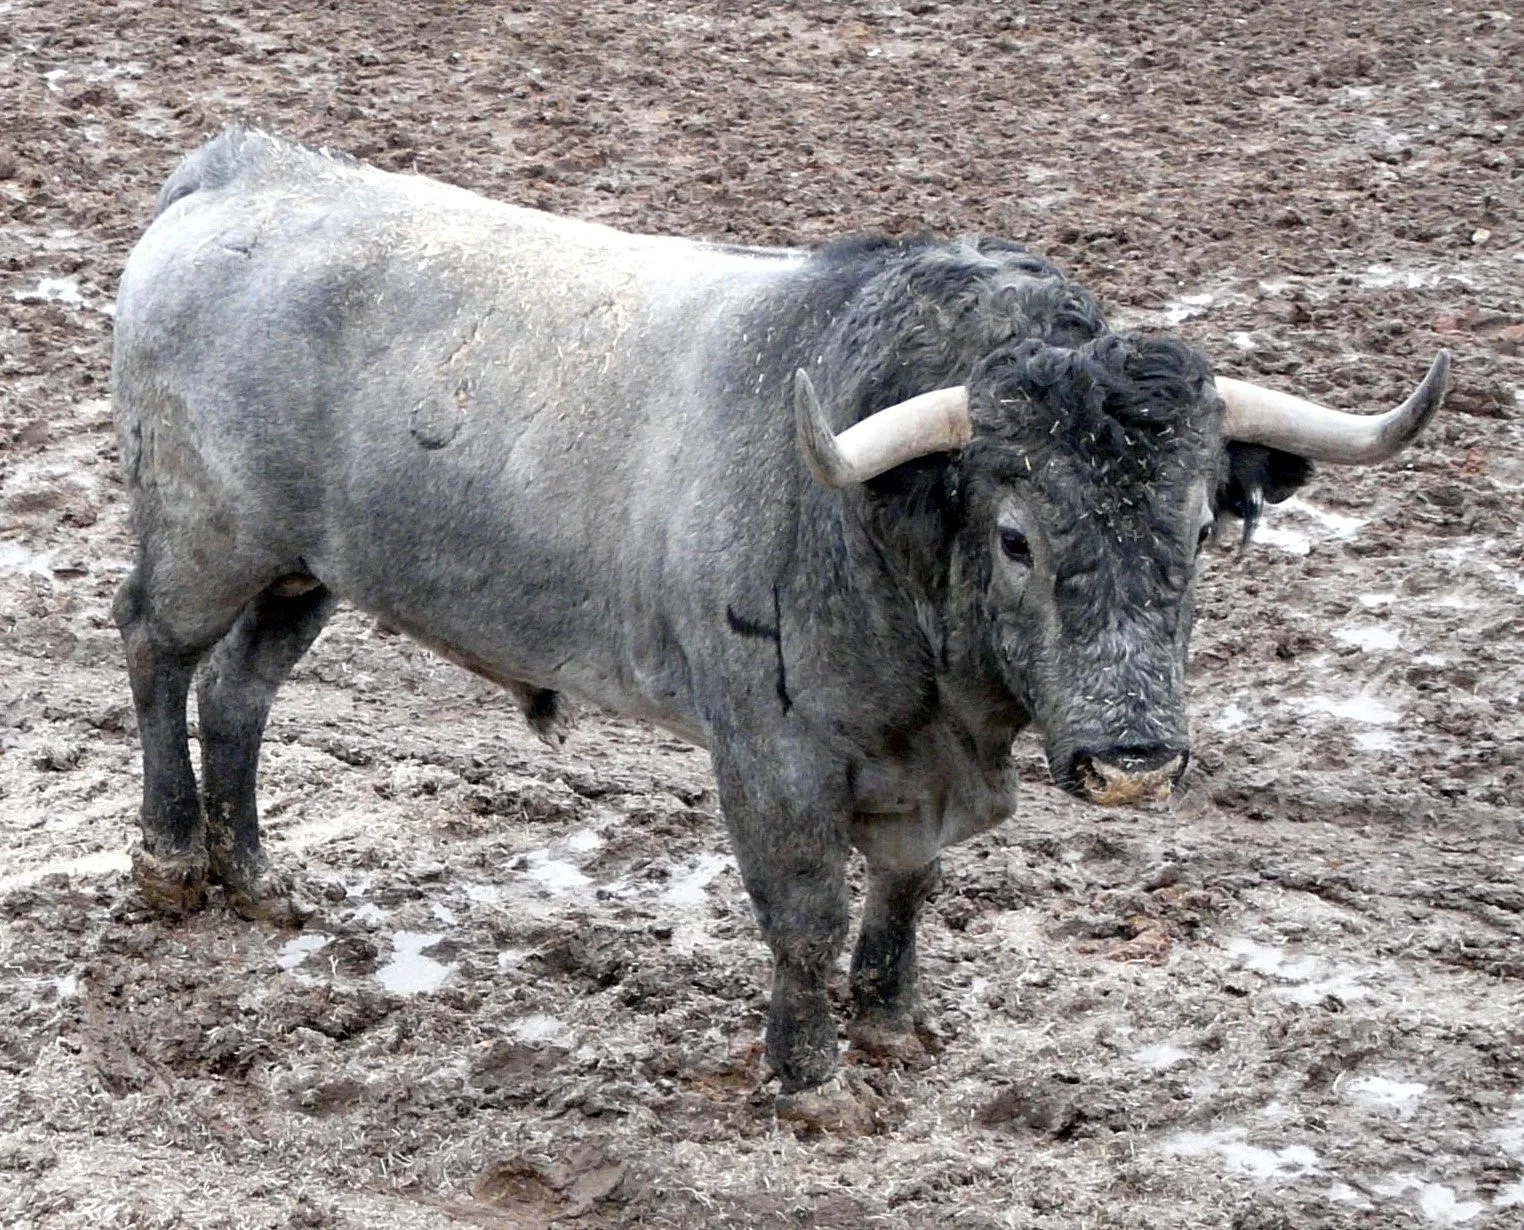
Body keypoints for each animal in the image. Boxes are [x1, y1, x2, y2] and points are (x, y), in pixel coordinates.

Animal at [111, 127, 1449, 1130]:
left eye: (1200, 522)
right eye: (1018, 535)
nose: (1132, 761)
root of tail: (239, 170)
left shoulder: (921, 779)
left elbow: (907, 889)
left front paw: (893, 1022)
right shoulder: (771, 758)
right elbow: (803, 911)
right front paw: (808, 1077)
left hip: (303, 574)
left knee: (241, 692)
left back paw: (257, 874)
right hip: (203, 545)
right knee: (155, 653)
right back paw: (173, 860)